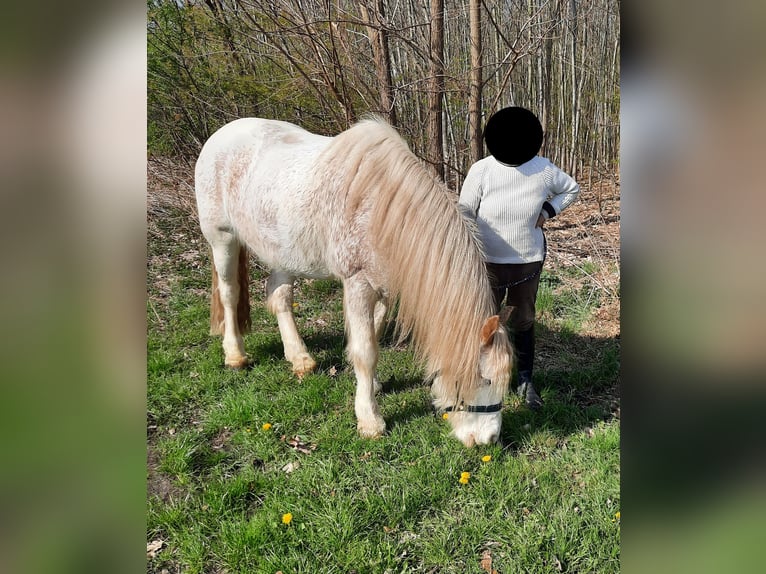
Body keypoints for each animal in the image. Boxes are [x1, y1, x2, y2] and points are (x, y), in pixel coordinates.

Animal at [195, 117, 512, 448]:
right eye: (486, 379)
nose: (489, 438)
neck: (383, 211)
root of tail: (221, 134)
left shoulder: (383, 288)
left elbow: (374, 334)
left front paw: (372, 386)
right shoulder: (358, 284)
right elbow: (365, 351)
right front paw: (370, 420)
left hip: (283, 252)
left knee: (279, 297)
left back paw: (300, 359)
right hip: (223, 239)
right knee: (229, 294)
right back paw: (235, 355)